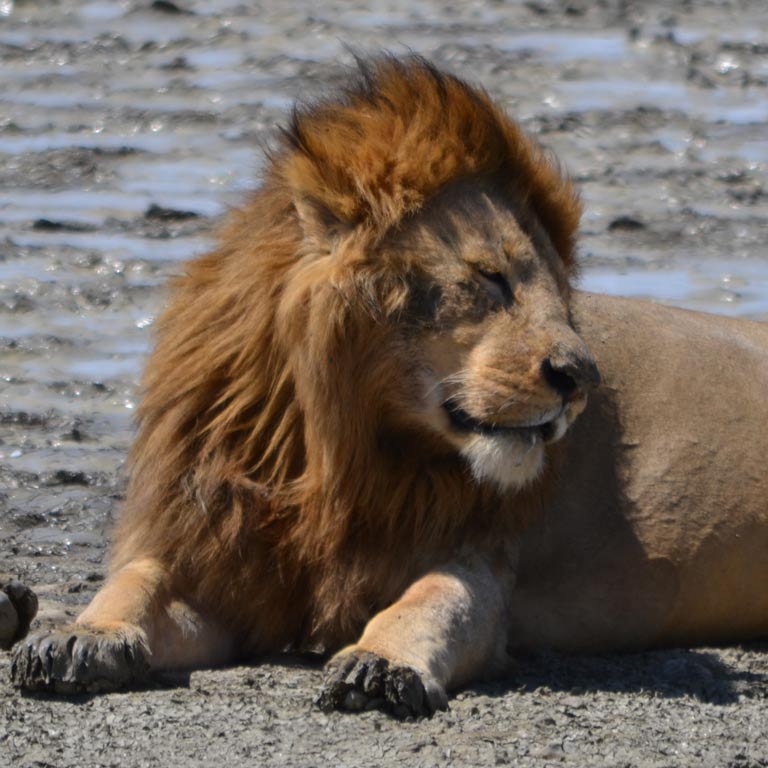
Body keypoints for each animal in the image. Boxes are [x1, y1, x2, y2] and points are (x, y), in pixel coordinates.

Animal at [10, 57, 768, 716]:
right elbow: (133, 582)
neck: (331, 451)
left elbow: (433, 600)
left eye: (560, 291)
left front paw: (380, 665)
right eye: (491, 278)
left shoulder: (481, 555)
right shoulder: (217, 558)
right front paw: (76, 636)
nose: (583, 379)